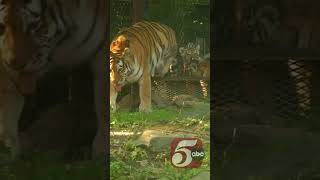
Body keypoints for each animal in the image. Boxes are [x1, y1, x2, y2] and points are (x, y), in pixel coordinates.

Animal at [0, 0, 107, 159]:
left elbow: (104, 100)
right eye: (1, 26)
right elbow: (8, 97)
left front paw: (103, 148)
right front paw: (6, 147)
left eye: (34, 27)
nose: (14, 64)